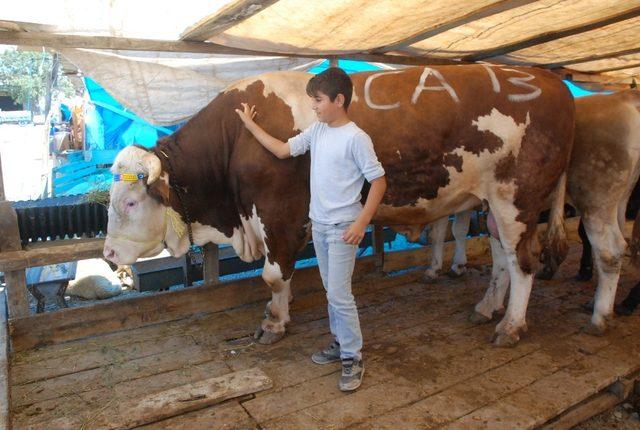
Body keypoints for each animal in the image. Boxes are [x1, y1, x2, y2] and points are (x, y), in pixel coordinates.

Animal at [102, 63, 572, 346]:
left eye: (130, 202)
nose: (107, 254)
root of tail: (546, 80)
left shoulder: (279, 215)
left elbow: (274, 274)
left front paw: (274, 322)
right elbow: (284, 276)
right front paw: (280, 312)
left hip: (516, 199)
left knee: (522, 262)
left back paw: (511, 326)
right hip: (493, 204)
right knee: (501, 259)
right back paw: (487, 308)